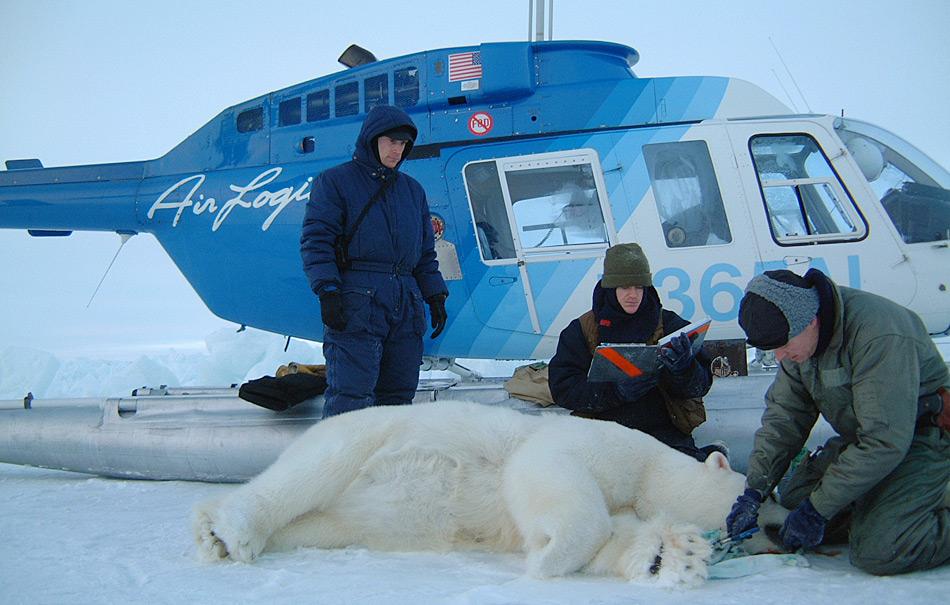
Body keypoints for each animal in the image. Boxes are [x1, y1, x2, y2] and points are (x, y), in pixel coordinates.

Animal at [197, 398, 768, 588]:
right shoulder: (613, 445)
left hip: (348, 518)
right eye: (752, 495)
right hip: (364, 436)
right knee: (310, 472)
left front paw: (674, 556)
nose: (771, 532)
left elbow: (620, 539)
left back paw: (217, 536)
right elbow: (548, 470)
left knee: (320, 523)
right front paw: (548, 558)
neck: (655, 472)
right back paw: (232, 531)